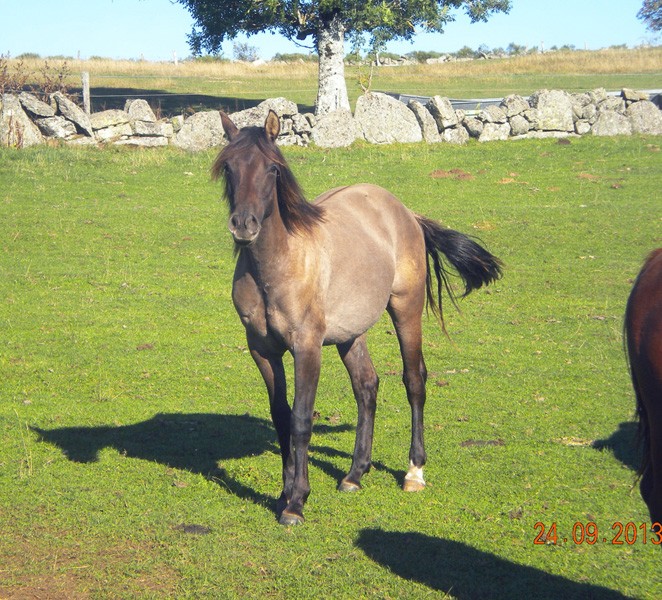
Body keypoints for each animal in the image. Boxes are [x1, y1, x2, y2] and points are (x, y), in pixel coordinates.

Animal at [213, 110, 504, 524]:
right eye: (229, 168)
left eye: (272, 169)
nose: (244, 225)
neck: (278, 265)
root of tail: (404, 212)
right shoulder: (262, 351)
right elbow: (281, 417)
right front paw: (284, 494)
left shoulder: (307, 347)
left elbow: (301, 420)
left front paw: (297, 502)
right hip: (351, 333)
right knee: (367, 386)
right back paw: (355, 474)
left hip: (406, 309)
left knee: (414, 380)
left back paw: (414, 471)